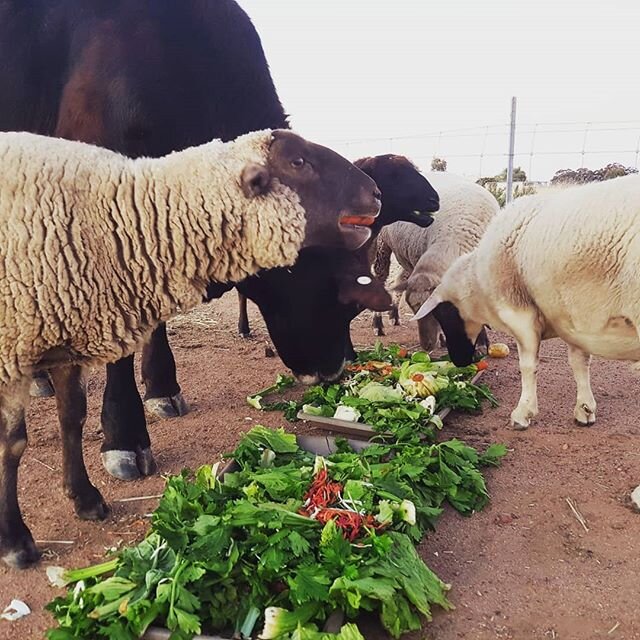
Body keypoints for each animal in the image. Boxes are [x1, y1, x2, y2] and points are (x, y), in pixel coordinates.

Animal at [0, 127, 380, 568]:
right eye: (298, 162)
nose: (375, 193)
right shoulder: (11, 352)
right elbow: (12, 445)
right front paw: (15, 541)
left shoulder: (63, 340)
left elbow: (72, 418)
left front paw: (85, 498)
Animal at [376, 172, 500, 348]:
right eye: (412, 308)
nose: (426, 345)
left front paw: (482, 341)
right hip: (381, 245)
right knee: (380, 279)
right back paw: (378, 325)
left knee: (398, 280)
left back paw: (394, 315)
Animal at [412, 174, 640, 430]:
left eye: (444, 315)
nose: (459, 361)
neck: (477, 283)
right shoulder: (573, 317)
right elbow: (579, 362)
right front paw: (584, 409)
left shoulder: (520, 314)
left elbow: (528, 365)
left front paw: (523, 413)